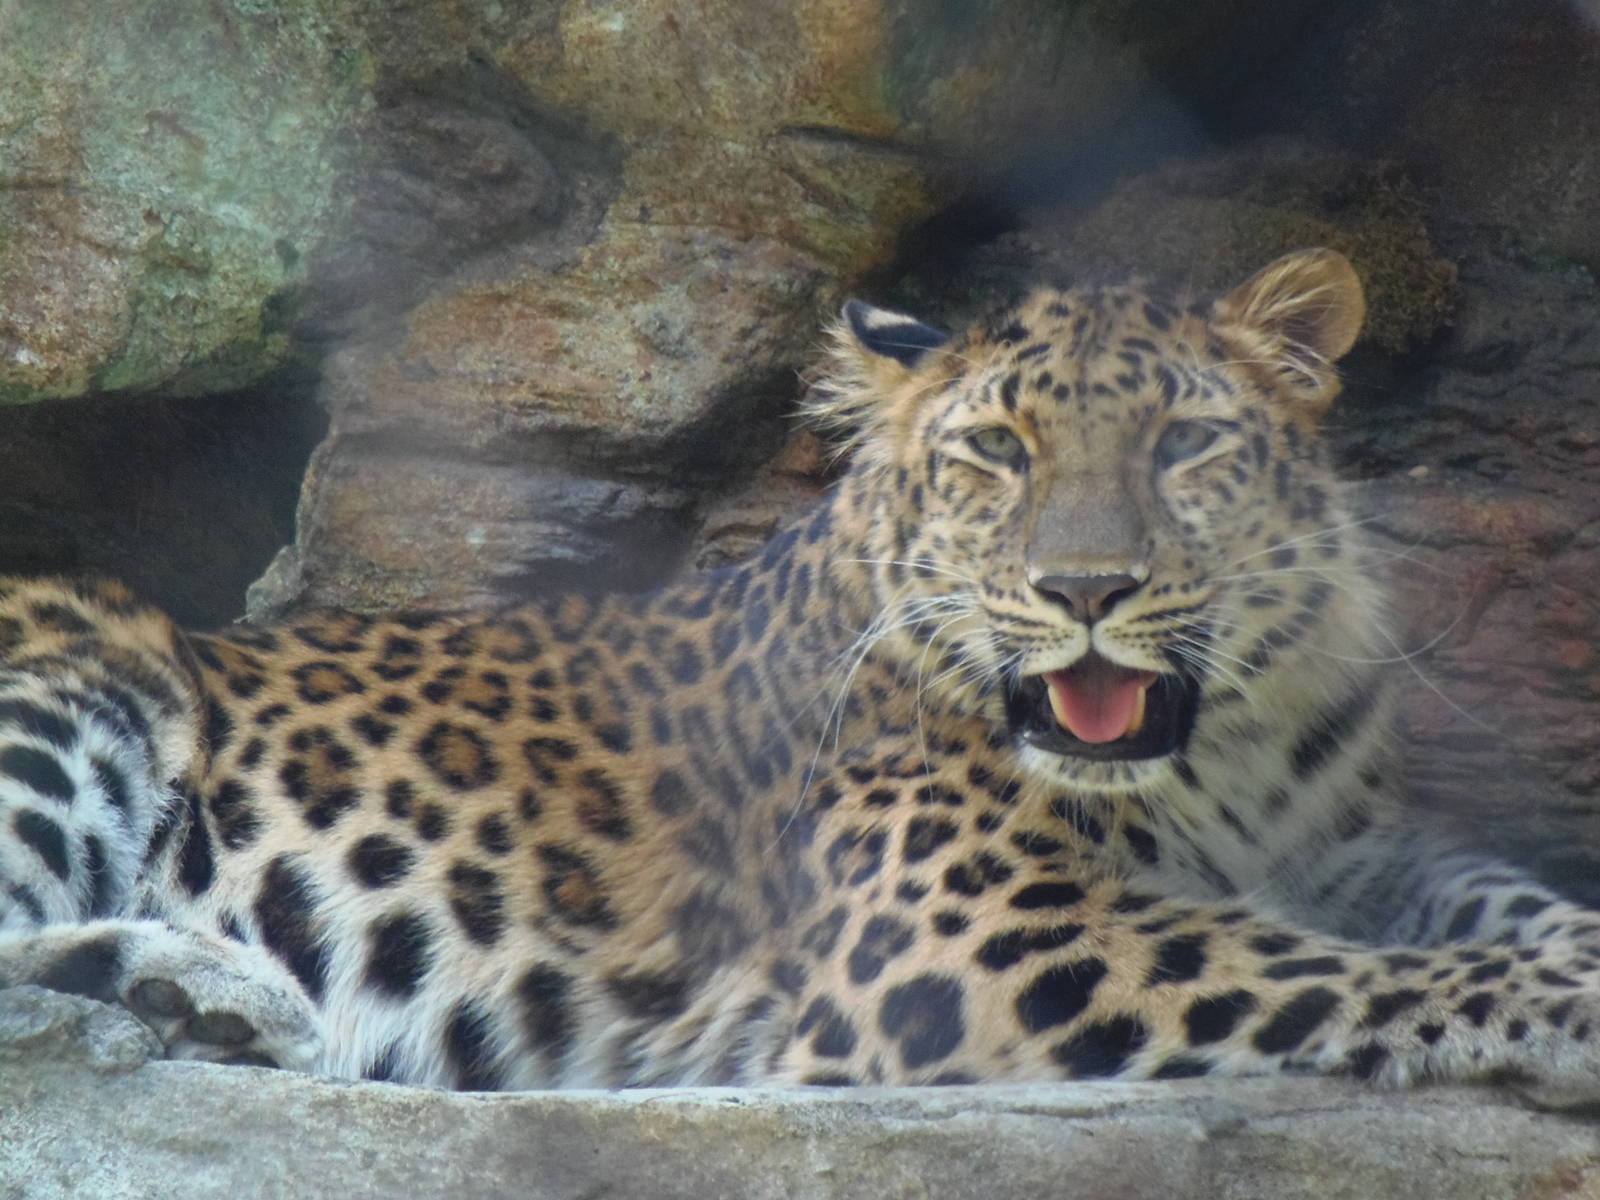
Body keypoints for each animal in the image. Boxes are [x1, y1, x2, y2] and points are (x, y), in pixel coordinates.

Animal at [4, 247, 1600, 1101]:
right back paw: (205, 986)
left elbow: (1490, 905)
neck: (1227, 759)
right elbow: (1330, 969)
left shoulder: (1367, 851)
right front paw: (1572, 1010)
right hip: (89, 681)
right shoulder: (979, 945)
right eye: (997, 450)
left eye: (1184, 444)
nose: (1087, 593)